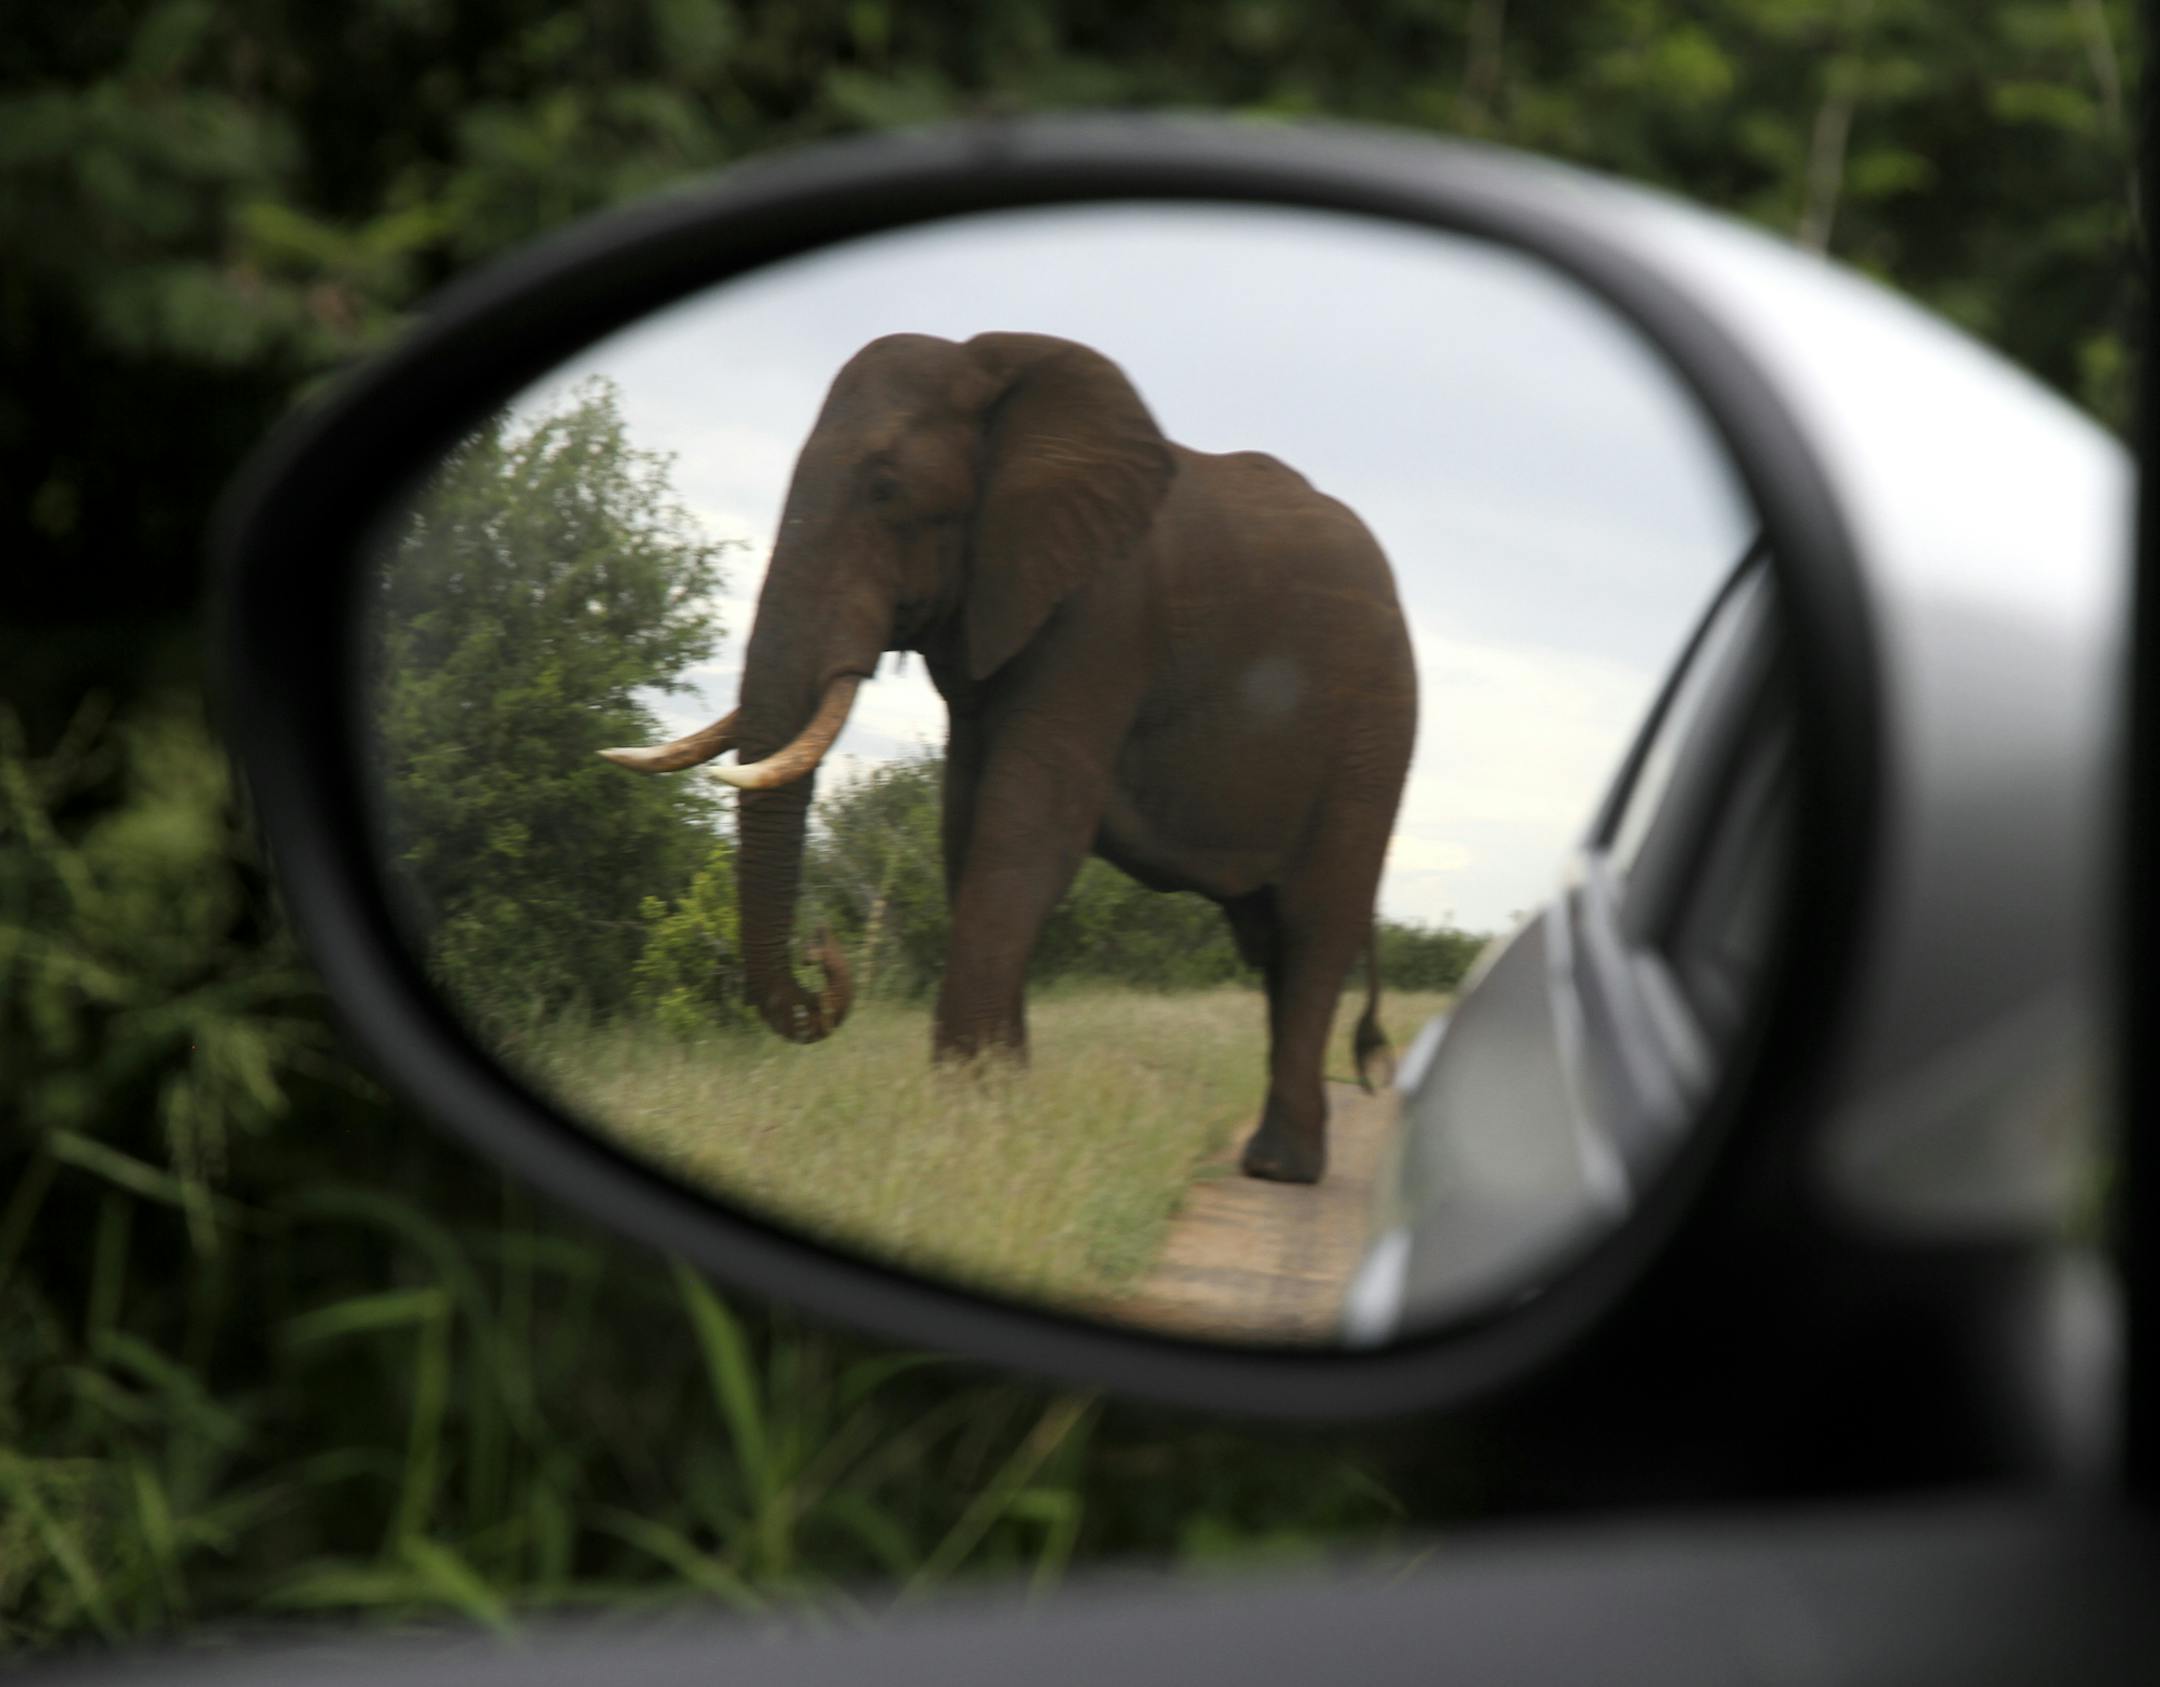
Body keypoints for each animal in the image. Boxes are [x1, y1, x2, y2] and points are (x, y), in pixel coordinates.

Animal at [602, 332, 1417, 1184]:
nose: (825, 947)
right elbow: (967, 831)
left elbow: (1025, 831)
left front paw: (968, 1112)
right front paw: (1000, 1102)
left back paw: (1281, 1169)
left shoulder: (1104, 612)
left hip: (1374, 733)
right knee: (1270, 943)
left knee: (1316, 923)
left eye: (886, 489)